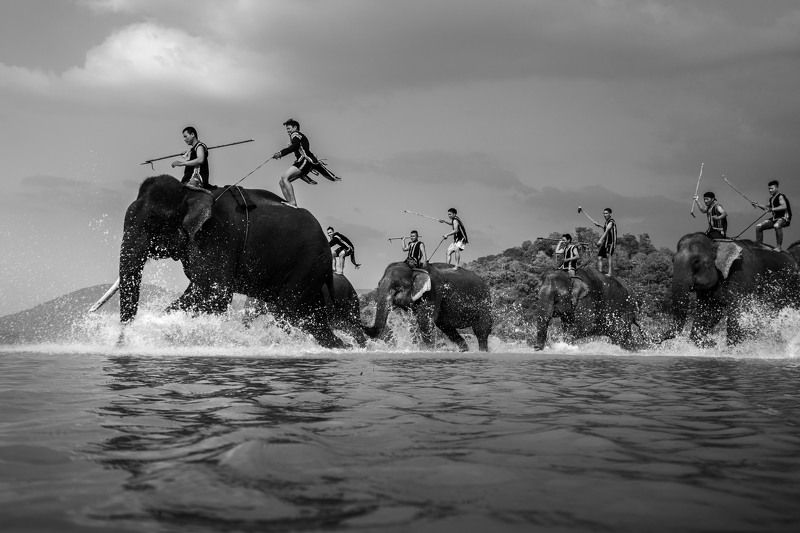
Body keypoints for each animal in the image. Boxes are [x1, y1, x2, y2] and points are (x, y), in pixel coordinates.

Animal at [116, 174, 344, 348]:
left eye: (152, 221)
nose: (122, 343)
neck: (190, 192)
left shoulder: (217, 235)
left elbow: (215, 293)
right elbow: (201, 288)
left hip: (307, 264)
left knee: (289, 313)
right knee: (310, 316)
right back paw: (339, 346)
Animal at [364, 262, 492, 351]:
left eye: (398, 287)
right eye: (378, 284)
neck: (415, 269)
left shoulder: (433, 292)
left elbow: (425, 322)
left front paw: (428, 350)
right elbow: (414, 323)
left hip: (485, 303)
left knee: (481, 331)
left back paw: (482, 351)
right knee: (448, 329)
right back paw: (464, 350)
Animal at [670, 233, 799, 346]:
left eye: (696, 261)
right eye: (672, 260)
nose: (713, 342)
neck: (716, 242)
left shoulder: (741, 273)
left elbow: (738, 312)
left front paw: (732, 349)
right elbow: (709, 313)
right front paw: (710, 345)